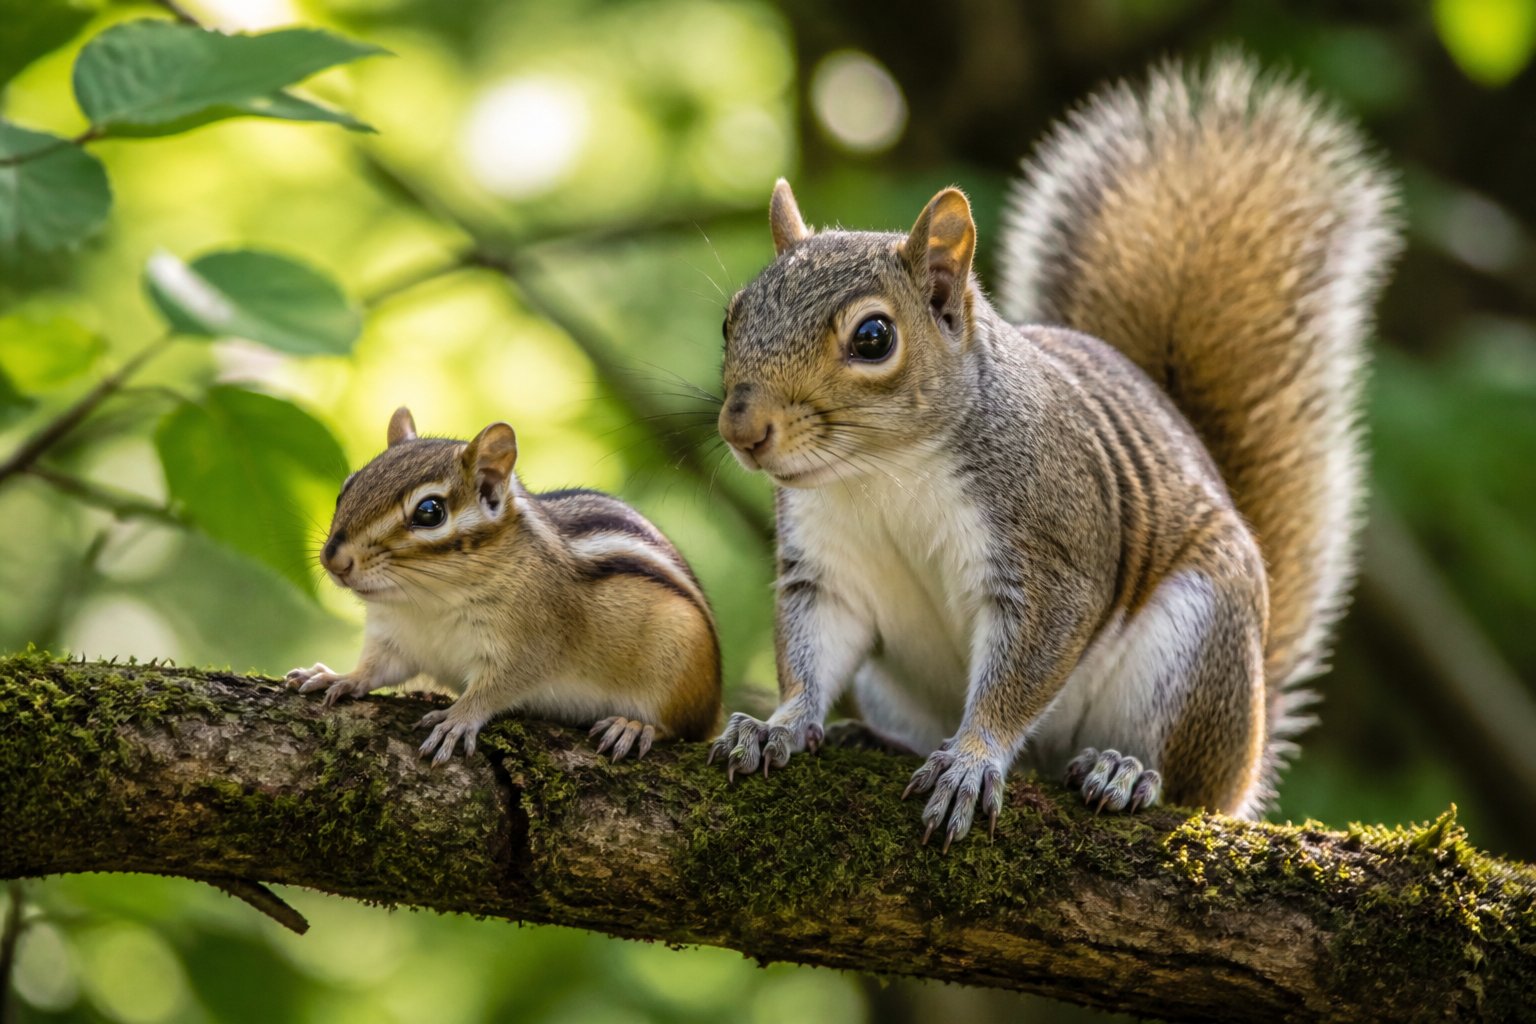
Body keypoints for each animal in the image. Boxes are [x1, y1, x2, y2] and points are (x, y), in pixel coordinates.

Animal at [287, 407, 721, 763]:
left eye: (429, 511)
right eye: (348, 487)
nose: (334, 559)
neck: (427, 601)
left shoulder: (531, 642)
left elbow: (497, 689)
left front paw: (458, 719)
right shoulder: (395, 639)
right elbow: (377, 668)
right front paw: (340, 677)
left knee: (678, 728)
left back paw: (633, 726)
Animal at [708, 55, 1399, 848]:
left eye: (874, 338)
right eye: (731, 318)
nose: (742, 429)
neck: (882, 474)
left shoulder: (1053, 555)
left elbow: (1020, 677)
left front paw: (971, 762)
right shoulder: (825, 570)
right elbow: (808, 656)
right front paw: (779, 726)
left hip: (1196, 647)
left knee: (1192, 784)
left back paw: (1126, 772)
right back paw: (876, 739)